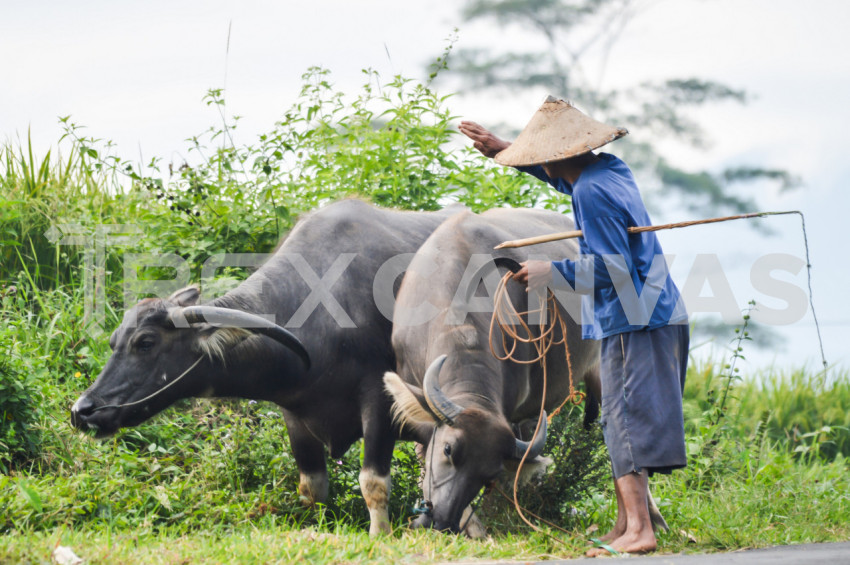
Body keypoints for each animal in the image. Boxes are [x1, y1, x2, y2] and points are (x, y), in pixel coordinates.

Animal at [69, 200, 460, 536]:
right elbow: (312, 487)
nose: (82, 411)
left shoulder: (379, 400)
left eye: (146, 342)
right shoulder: (295, 412)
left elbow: (373, 483)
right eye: (114, 341)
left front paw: (381, 535)